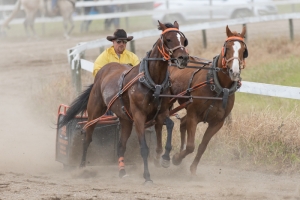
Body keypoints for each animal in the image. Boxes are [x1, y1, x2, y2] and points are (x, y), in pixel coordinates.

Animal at [58, 20, 189, 184]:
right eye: (168, 39)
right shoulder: (139, 116)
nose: (184, 58)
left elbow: (170, 125)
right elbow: (144, 148)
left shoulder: (161, 112)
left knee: (121, 146)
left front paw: (164, 158)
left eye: (183, 39)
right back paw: (82, 168)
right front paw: (147, 176)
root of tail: (102, 73)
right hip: (95, 112)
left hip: (125, 120)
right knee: (87, 138)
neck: (152, 81)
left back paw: (122, 171)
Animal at [168, 25, 247, 175]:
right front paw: (176, 158)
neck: (217, 87)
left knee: (182, 123)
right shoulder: (194, 116)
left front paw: (192, 167)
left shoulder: (217, 123)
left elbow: (202, 146)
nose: (234, 72)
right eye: (227, 48)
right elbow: (191, 146)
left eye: (244, 50)